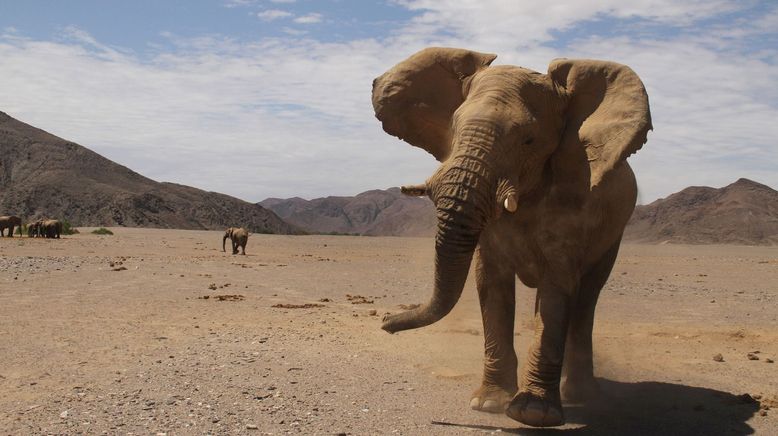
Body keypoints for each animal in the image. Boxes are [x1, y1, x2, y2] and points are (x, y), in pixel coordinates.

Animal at [370, 46, 648, 426]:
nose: (385, 321)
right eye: (453, 127)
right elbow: (491, 282)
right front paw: (489, 404)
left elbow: (557, 288)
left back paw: (580, 395)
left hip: (614, 232)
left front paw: (533, 413)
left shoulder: (575, 201)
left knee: (587, 297)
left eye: (528, 140)